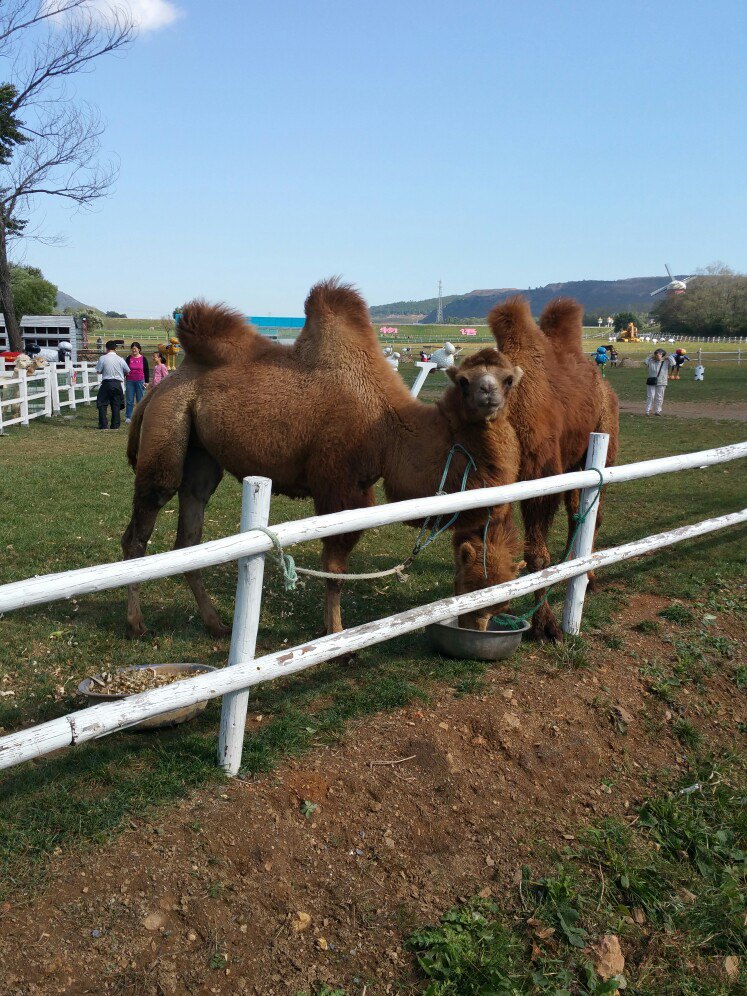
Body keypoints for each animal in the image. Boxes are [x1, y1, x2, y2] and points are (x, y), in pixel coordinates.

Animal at [122, 280, 524, 640]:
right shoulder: (340, 484)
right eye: (466, 382)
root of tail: (162, 385)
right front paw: (338, 637)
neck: (390, 428)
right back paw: (137, 623)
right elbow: (334, 568)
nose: (488, 396)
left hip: (201, 455)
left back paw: (216, 624)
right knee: (142, 526)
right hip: (168, 425)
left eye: (508, 380)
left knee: (189, 532)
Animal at [486, 296, 620, 640]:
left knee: (592, 513)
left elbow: (536, 554)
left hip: (603, 439)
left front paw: (545, 625)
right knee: (578, 512)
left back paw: (588, 577)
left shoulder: (541, 478)